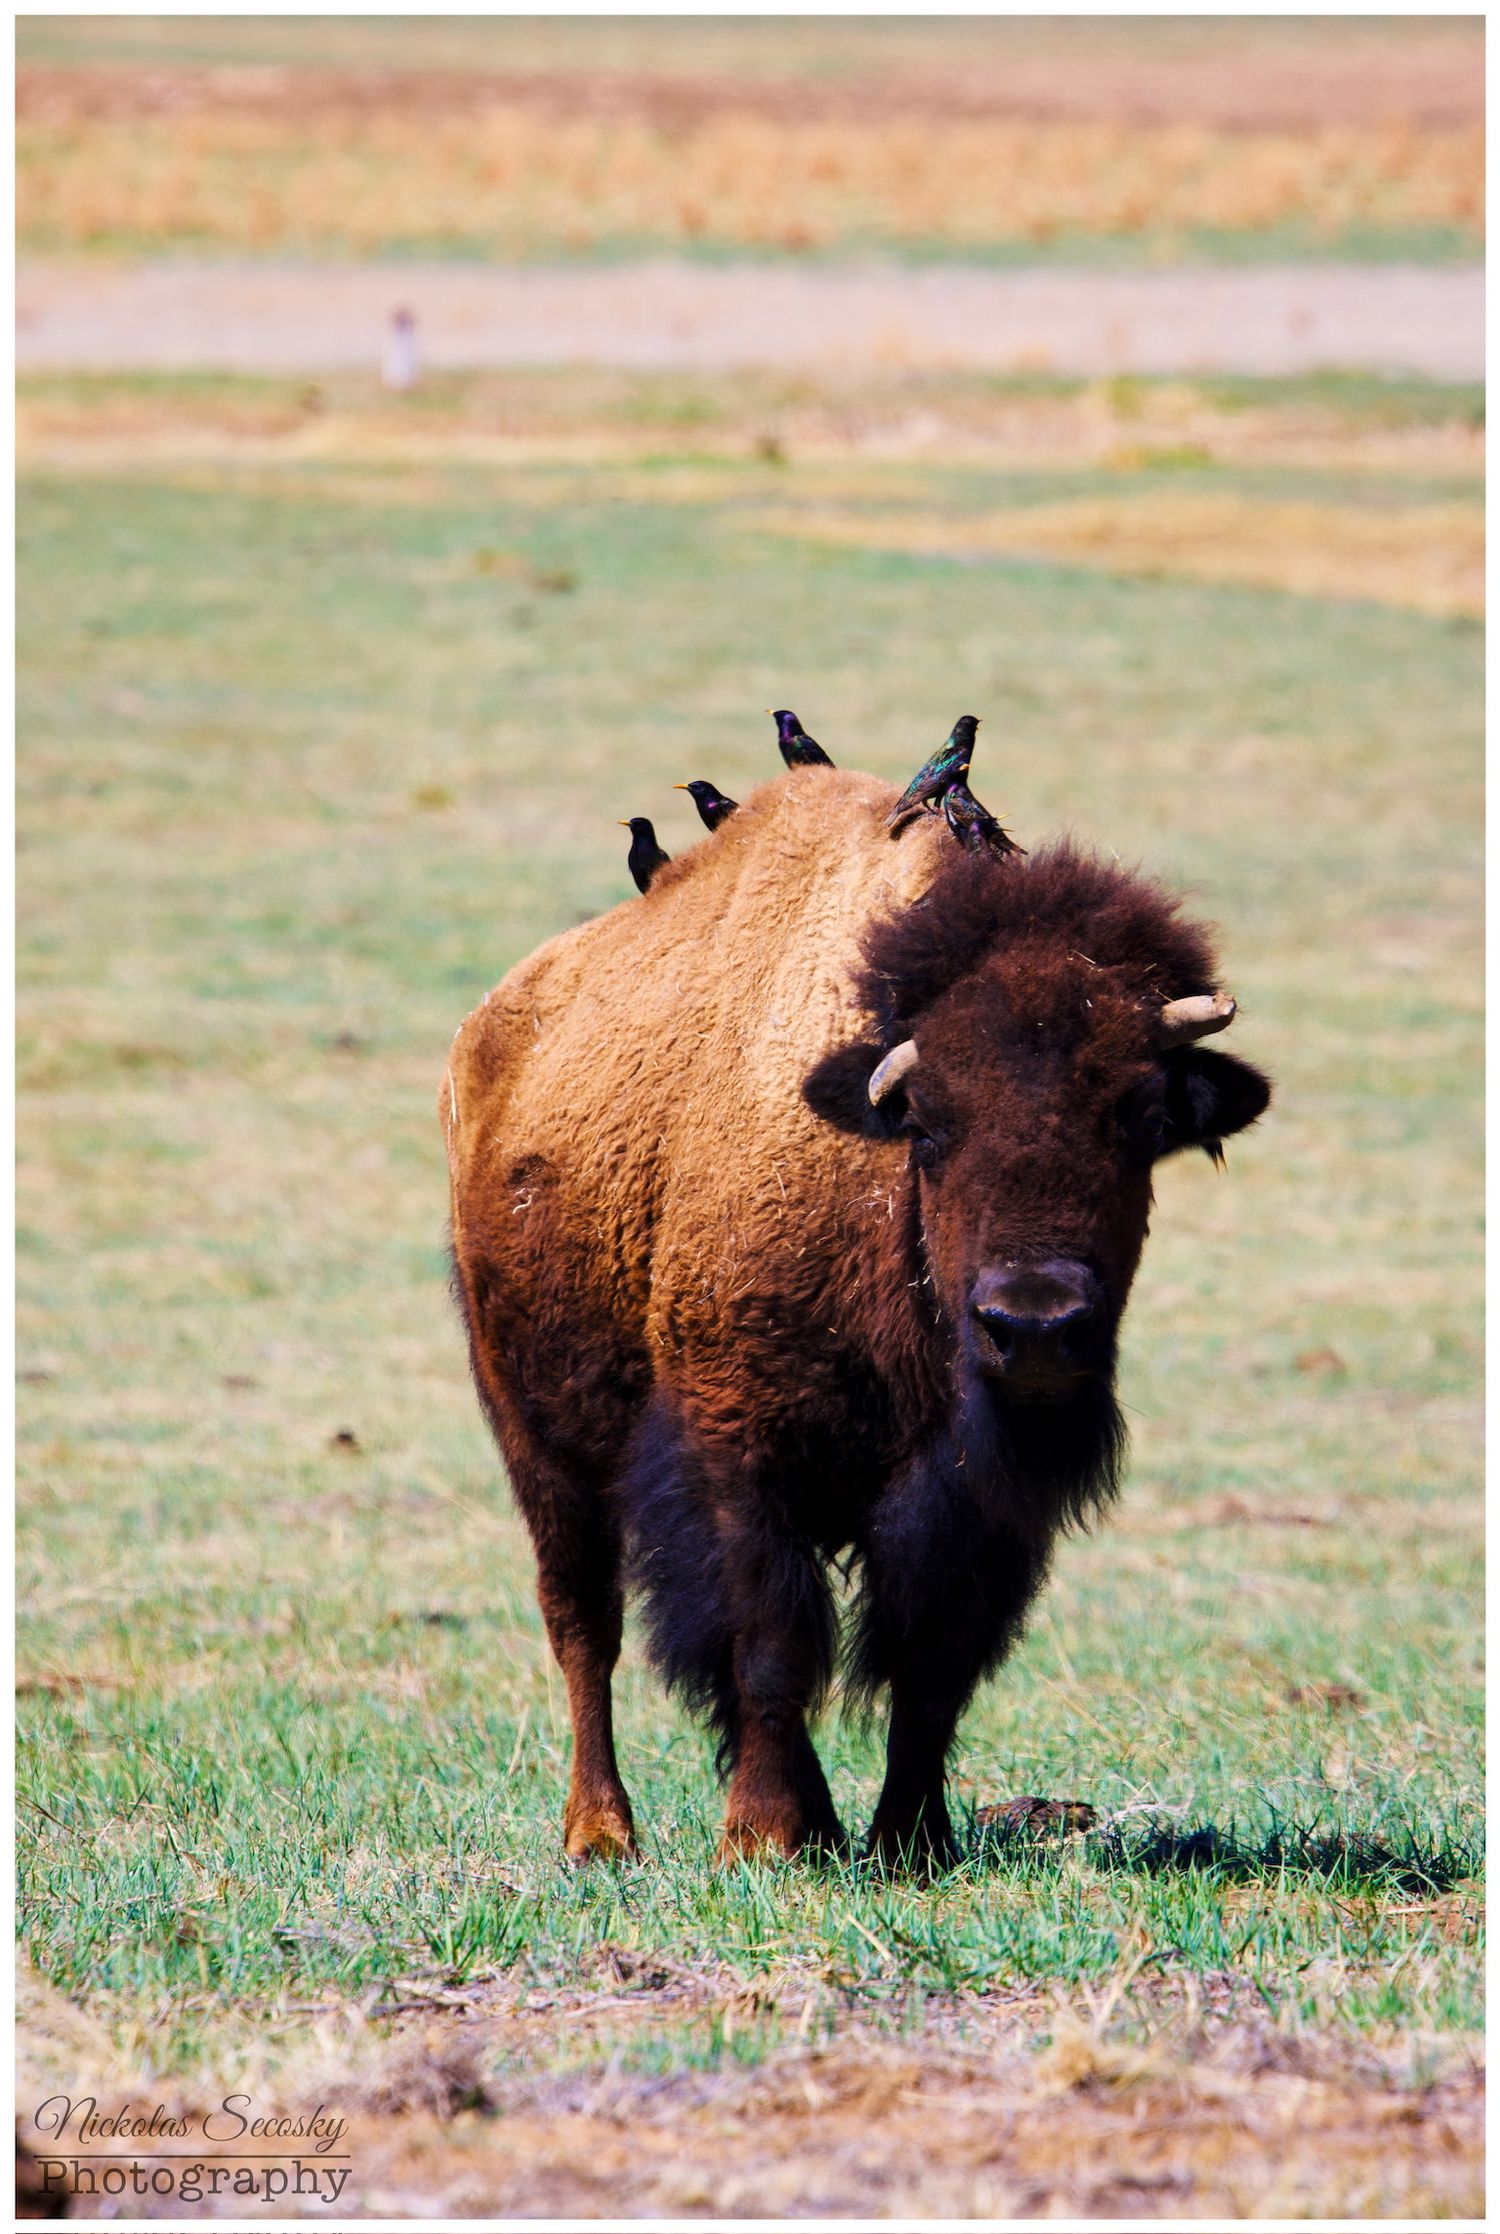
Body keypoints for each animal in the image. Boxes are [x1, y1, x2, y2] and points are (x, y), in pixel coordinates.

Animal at [442, 767, 1269, 1868]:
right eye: (929, 1121)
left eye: (1140, 1118)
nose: (1035, 1325)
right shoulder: (738, 1454)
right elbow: (769, 1643)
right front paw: (763, 1835)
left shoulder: (979, 1500)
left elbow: (932, 1662)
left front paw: (912, 1839)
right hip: (536, 1438)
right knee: (583, 1623)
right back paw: (602, 1831)